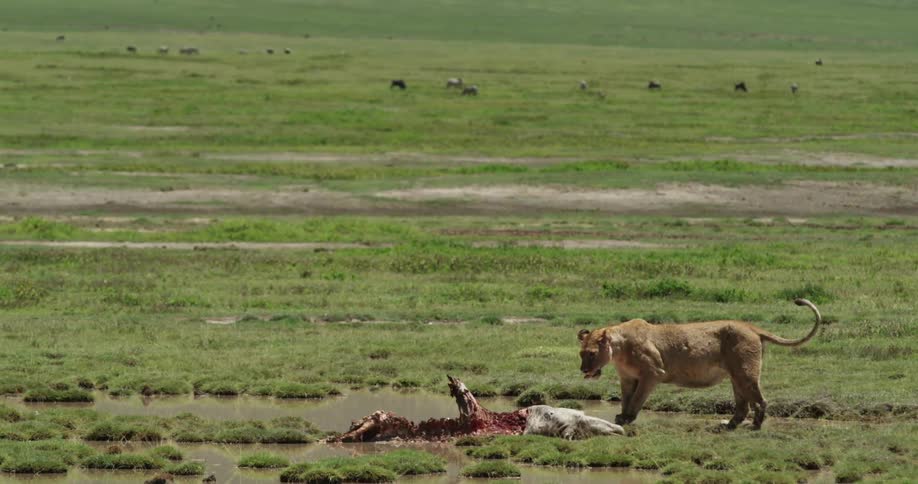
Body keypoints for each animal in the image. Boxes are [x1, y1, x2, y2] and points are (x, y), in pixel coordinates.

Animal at [578, 298, 821, 429]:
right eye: (581, 354)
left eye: (591, 354)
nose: (584, 370)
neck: (618, 350)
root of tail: (751, 327)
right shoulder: (628, 378)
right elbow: (626, 398)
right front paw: (621, 416)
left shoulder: (653, 373)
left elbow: (637, 399)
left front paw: (628, 418)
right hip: (736, 375)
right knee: (743, 403)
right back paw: (730, 424)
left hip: (746, 372)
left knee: (760, 400)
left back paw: (755, 425)